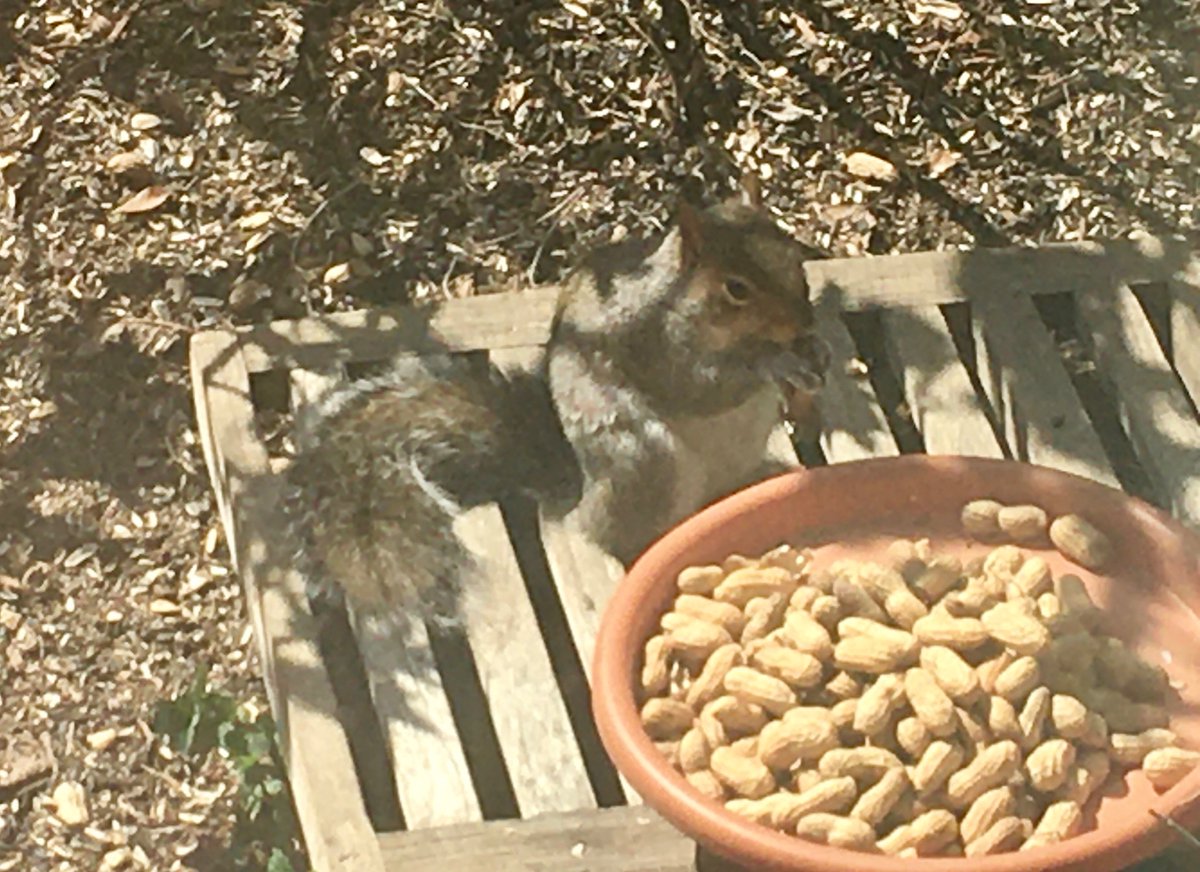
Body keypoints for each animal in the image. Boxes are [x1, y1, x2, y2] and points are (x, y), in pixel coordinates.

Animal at [283, 175, 830, 627]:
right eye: (735, 288)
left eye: (795, 257)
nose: (804, 323)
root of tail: (581, 493)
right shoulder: (654, 347)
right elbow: (702, 385)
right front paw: (774, 363)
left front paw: (813, 355)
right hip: (644, 458)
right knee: (630, 536)